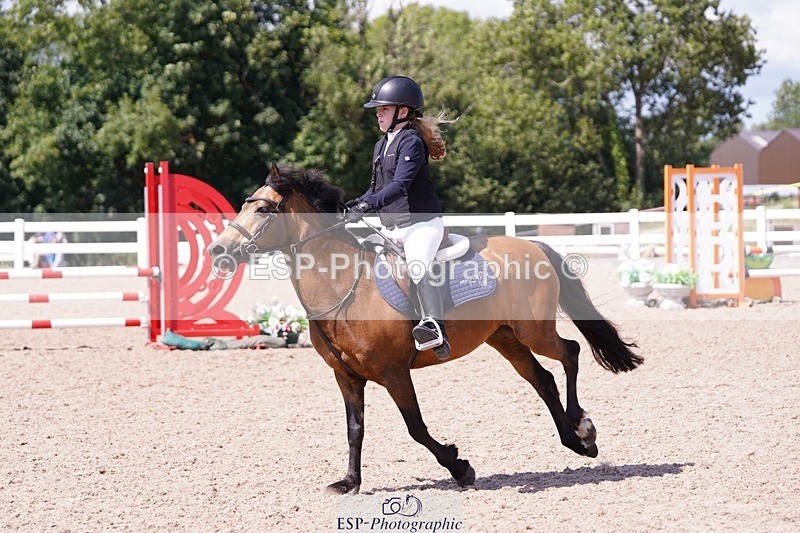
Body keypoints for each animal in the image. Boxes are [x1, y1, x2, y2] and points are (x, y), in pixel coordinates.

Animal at [209, 163, 643, 494]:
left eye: (264, 209)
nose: (218, 251)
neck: (342, 284)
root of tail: (532, 246)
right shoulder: (346, 377)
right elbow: (354, 429)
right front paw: (349, 482)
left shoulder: (394, 372)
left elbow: (415, 427)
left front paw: (459, 466)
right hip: (505, 338)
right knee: (543, 379)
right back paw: (576, 442)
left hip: (533, 330)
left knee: (570, 352)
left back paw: (583, 427)